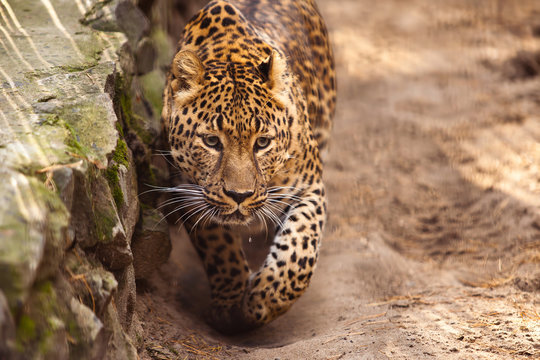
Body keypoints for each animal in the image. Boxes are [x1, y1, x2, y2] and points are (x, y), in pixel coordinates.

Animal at [160, 0, 336, 334]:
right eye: (212, 141)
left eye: (263, 142)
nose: (239, 196)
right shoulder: (191, 194)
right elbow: (219, 249)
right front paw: (230, 304)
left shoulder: (310, 188)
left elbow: (299, 250)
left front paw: (263, 298)